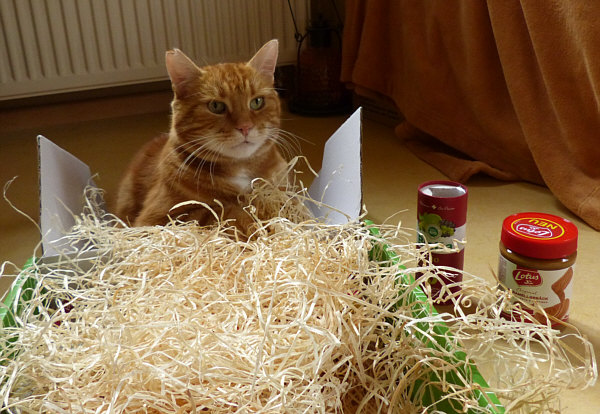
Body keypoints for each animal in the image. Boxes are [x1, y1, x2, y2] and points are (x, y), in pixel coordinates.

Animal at [115, 39, 288, 234]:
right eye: (216, 106)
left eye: (257, 102)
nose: (245, 127)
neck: (240, 169)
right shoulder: (156, 220)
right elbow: (220, 211)